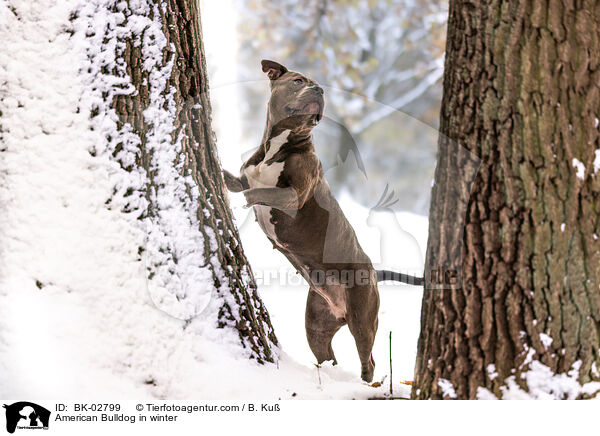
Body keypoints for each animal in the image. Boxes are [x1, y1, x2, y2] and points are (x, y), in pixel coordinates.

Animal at [221, 59, 422, 380]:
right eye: (298, 81)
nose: (319, 89)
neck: (279, 145)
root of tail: (374, 272)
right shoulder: (244, 177)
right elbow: (239, 182)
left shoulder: (293, 197)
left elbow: (257, 192)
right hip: (316, 323)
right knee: (327, 356)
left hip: (363, 318)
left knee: (368, 359)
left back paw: (366, 383)